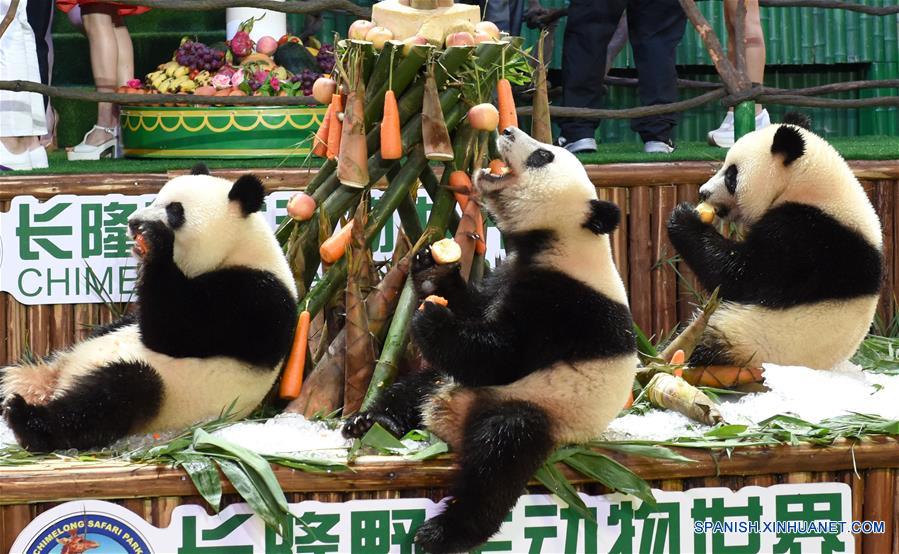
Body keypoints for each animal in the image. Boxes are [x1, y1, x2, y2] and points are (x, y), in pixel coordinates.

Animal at [1, 165, 298, 451]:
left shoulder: (254, 300)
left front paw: (156, 241)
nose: (134, 223)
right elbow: (134, 320)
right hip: (57, 358)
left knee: (118, 394)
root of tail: (56, 383)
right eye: (156, 199)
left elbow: (172, 331)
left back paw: (26, 419)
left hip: (167, 392)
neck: (239, 248)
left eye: (175, 210)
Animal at [343, 128, 638, 553]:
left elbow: (504, 357)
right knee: (414, 387)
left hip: (541, 408)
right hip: (447, 382)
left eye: (543, 156)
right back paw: (373, 420)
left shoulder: (568, 306)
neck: (561, 240)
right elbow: (477, 311)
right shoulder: (508, 275)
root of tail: (450, 420)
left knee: (500, 455)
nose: (508, 130)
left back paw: (443, 532)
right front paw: (432, 272)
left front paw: (432, 319)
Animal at [667, 113, 883, 369]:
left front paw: (683, 218)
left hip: (749, 338)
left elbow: (742, 276)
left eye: (731, 175)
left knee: (707, 343)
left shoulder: (808, 238)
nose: (703, 192)